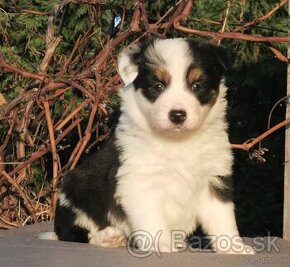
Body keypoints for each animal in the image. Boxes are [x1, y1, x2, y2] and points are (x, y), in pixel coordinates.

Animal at [41, 38, 254, 254]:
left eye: (197, 86)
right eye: (158, 86)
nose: (177, 115)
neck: (178, 141)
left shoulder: (214, 179)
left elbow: (223, 220)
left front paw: (234, 248)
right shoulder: (140, 183)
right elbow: (153, 221)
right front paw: (163, 246)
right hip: (75, 193)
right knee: (76, 235)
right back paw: (110, 236)